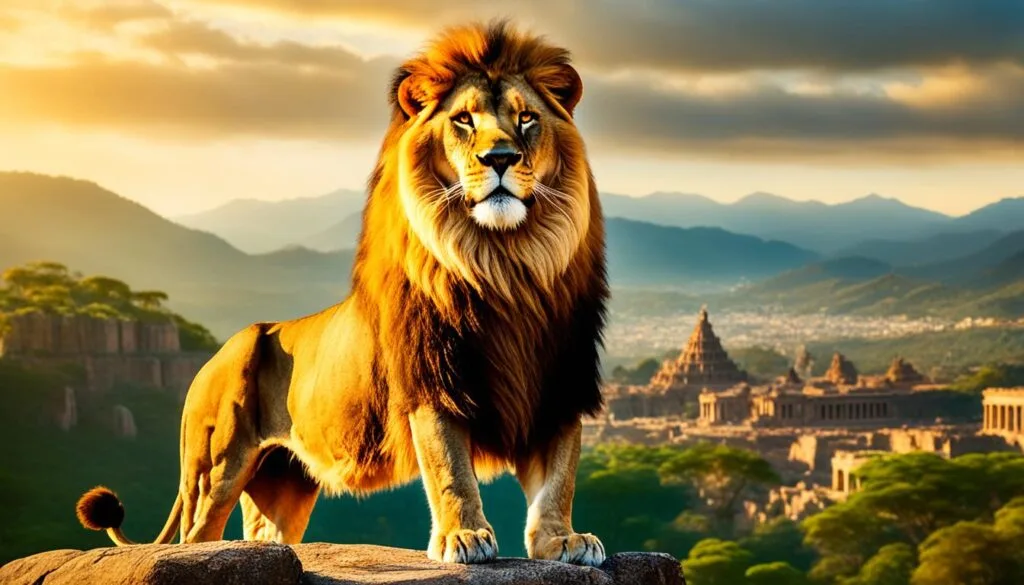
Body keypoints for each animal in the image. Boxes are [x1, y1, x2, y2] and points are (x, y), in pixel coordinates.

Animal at [76, 20, 608, 566]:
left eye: (526, 119)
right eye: (463, 120)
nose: (500, 158)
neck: (505, 263)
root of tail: (211, 359)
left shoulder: (560, 387)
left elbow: (558, 480)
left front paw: (562, 540)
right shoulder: (432, 384)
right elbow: (450, 468)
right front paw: (463, 536)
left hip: (282, 481)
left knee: (263, 534)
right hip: (216, 467)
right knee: (196, 533)